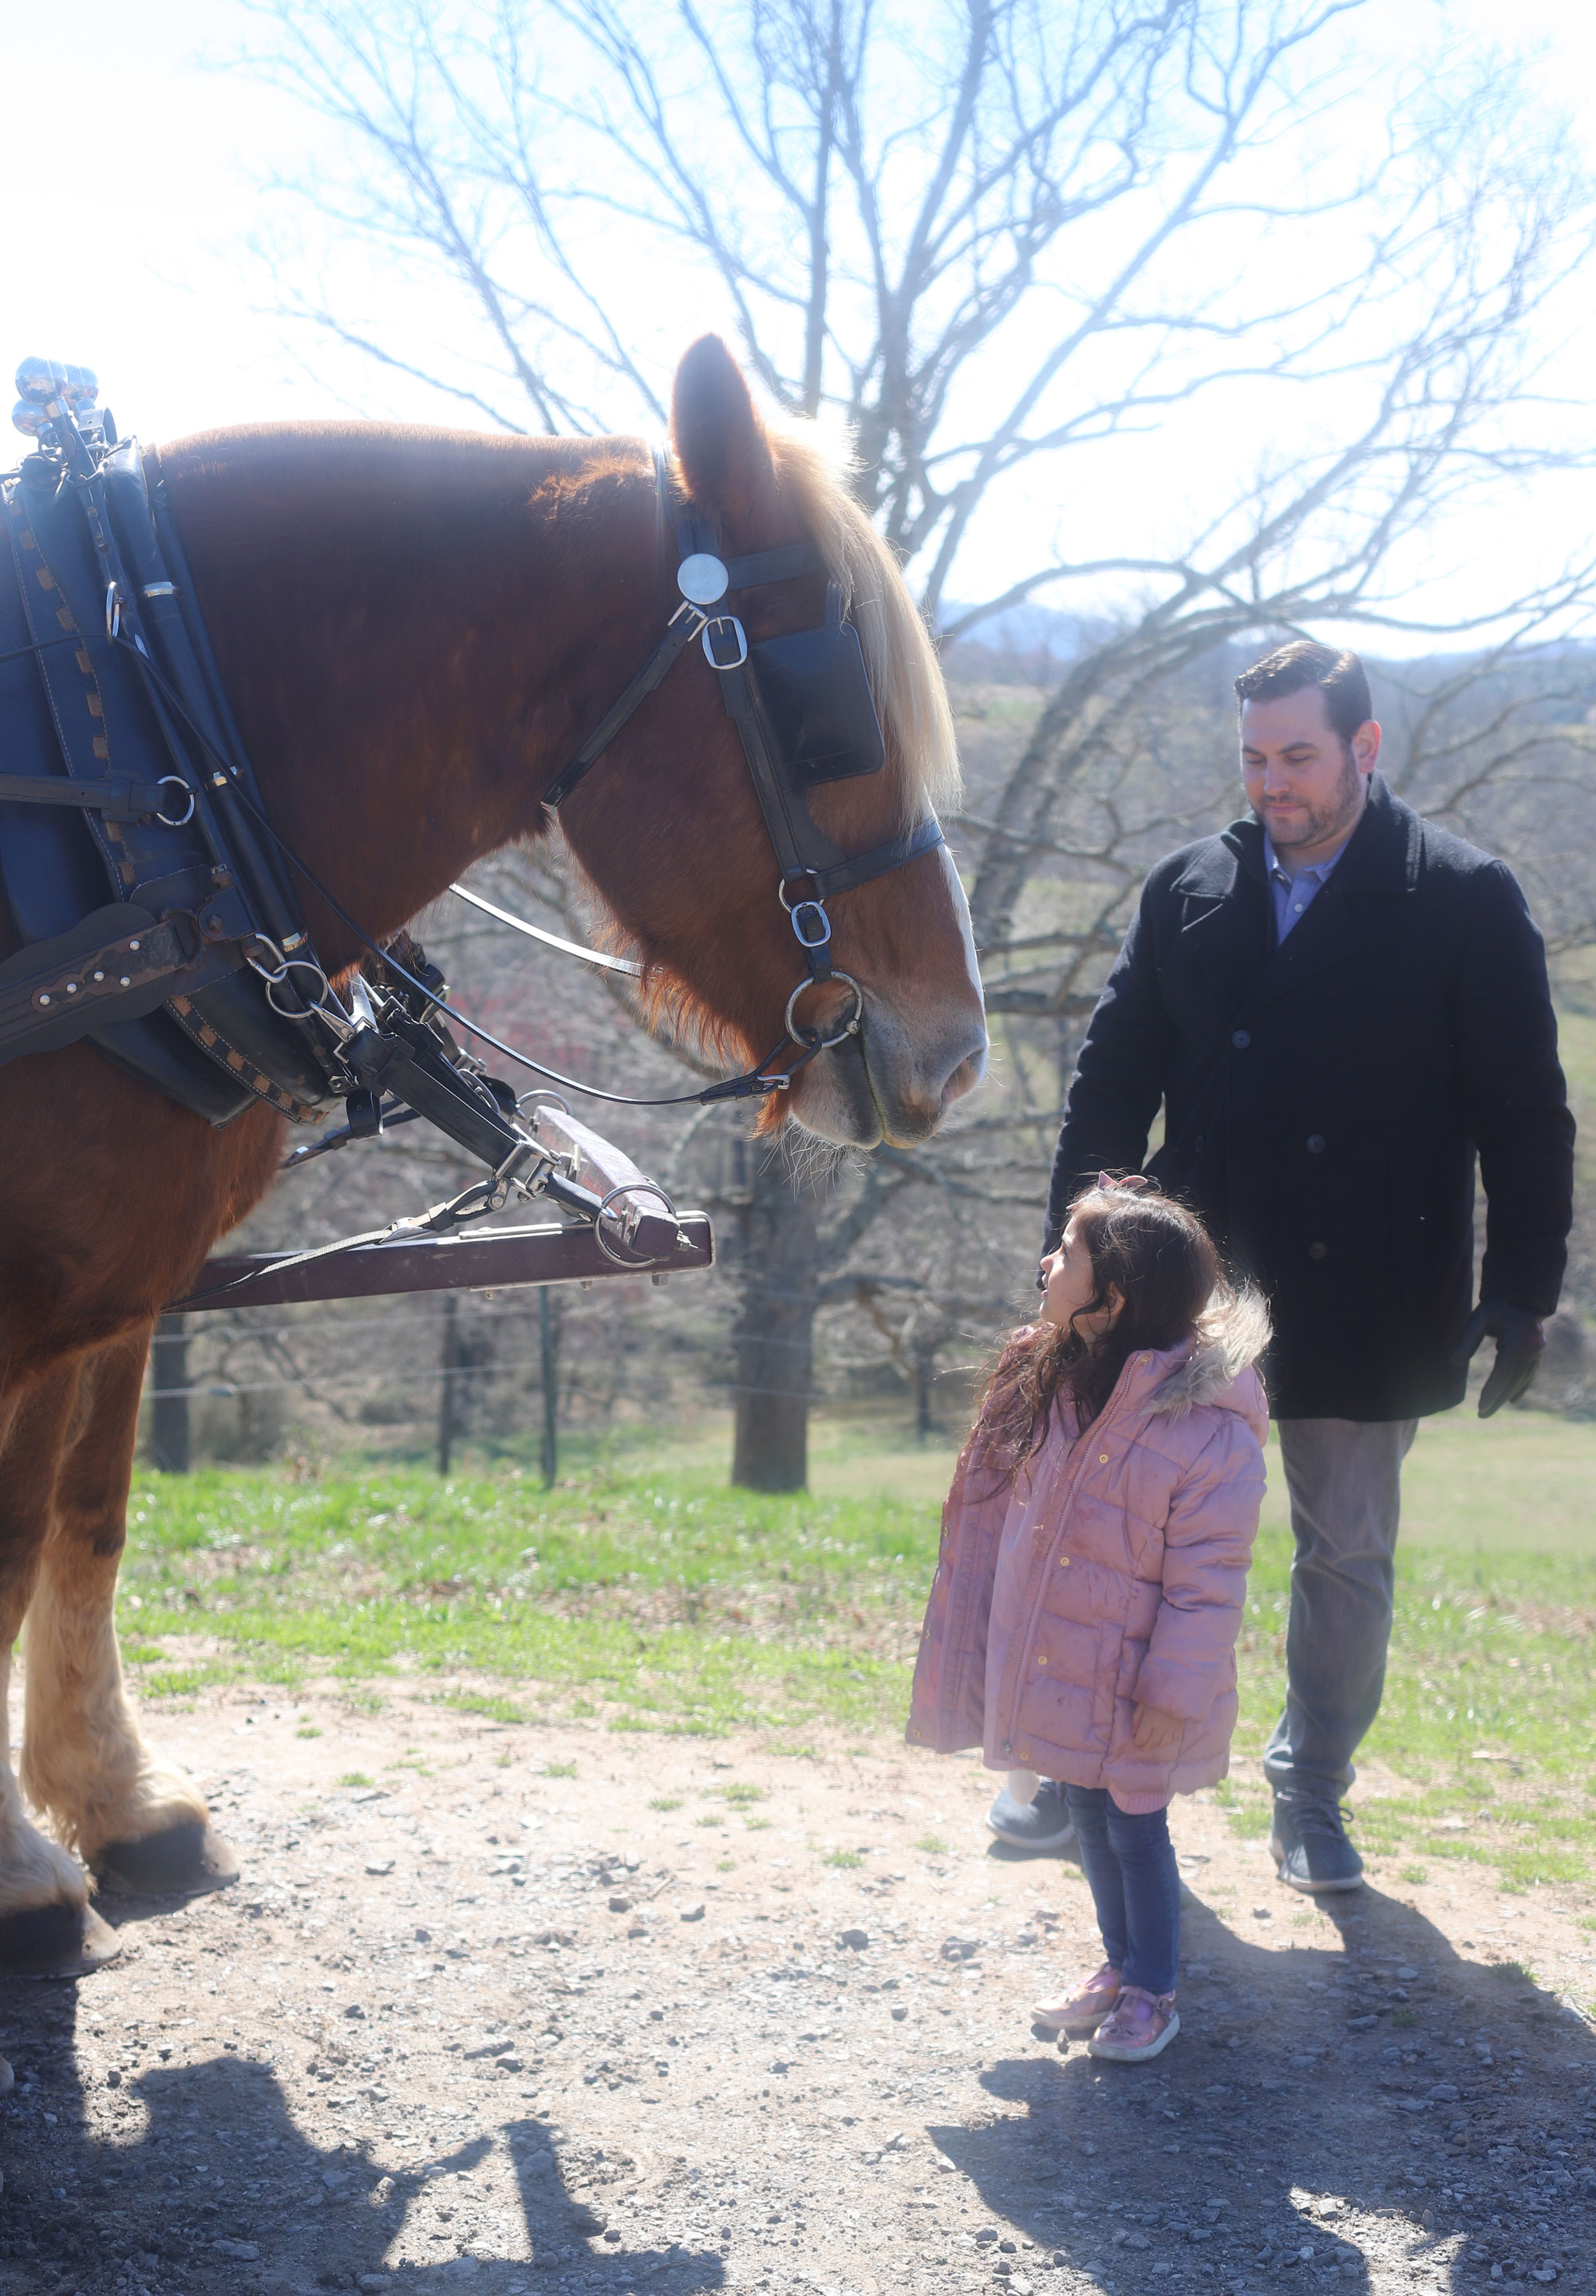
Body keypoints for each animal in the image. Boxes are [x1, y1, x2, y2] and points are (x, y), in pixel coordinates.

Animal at [0, 333, 987, 1965]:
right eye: (829, 713)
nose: (960, 1049)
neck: (127, 758)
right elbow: (14, 1537)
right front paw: (22, 1865)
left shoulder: (112, 1281)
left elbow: (81, 1518)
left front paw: (115, 1801)